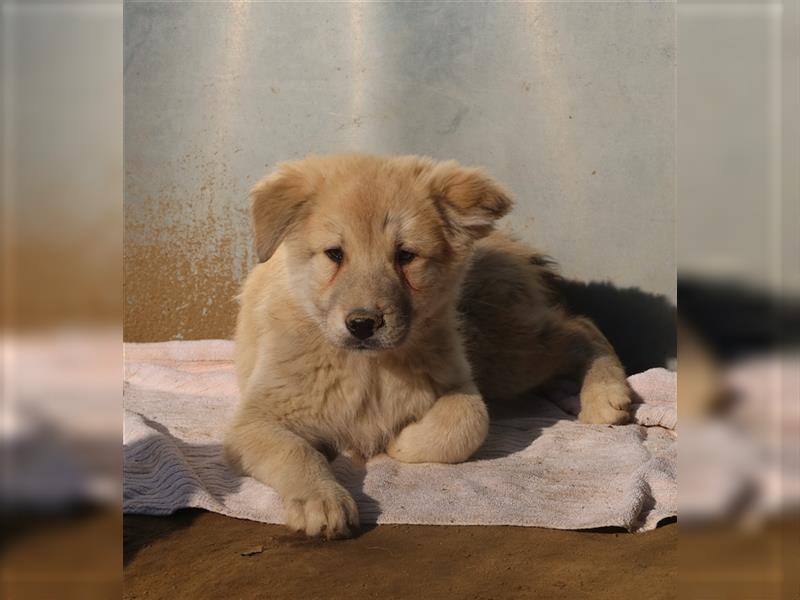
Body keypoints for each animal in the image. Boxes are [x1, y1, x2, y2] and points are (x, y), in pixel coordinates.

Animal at [227, 155, 632, 540]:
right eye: (334, 254)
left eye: (405, 255)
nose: (362, 325)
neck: (370, 367)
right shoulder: (257, 419)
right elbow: (296, 452)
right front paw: (322, 500)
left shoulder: (458, 383)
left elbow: (469, 421)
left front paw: (398, 444)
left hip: (501, 354)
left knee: (579, 327)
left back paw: (608, 397)